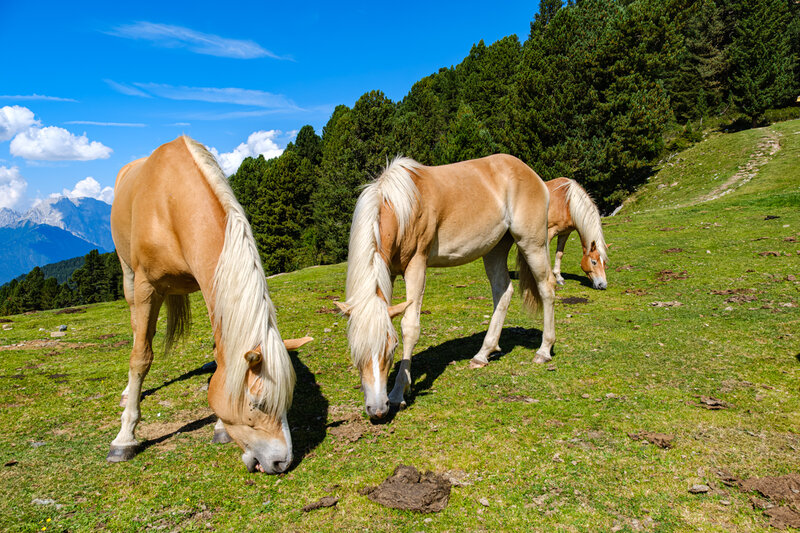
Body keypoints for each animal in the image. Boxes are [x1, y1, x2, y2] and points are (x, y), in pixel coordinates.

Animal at [109, 136, 311, 473]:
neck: (170, 203)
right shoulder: (146, 286)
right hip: (129, 277)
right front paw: (125, 438)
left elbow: (221, 357)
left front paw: (219, 427)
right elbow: (141, 357)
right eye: (256, 404)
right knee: (138, 331)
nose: (282, 462)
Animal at [335, 154, 556, 419]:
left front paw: (399, 393)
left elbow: (410, 327)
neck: (399, 206)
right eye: (355, 349)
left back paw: (544, 351)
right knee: (503, 291)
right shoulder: (388, 272)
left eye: (392, 347)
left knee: (546, 288)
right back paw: (483, 354)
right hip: (495, 248)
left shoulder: (417, 265)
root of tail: (528, 172)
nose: (377, 409)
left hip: (532, 243)